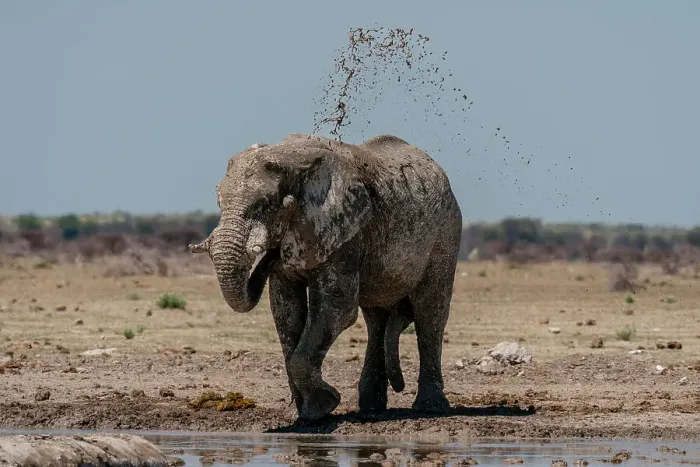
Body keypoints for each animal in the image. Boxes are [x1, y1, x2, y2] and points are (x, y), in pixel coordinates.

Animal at [188, 132, 462, 421]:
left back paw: (430, 407)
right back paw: (371, 407)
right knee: (375, 317)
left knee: (429, 312)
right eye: (219, 202)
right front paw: (306, 415)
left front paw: (324, 406)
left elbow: (336, 309)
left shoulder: (346, 232)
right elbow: (286, 311)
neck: (290, 157)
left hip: (446, 233)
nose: (270, 255)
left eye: (265, 204)